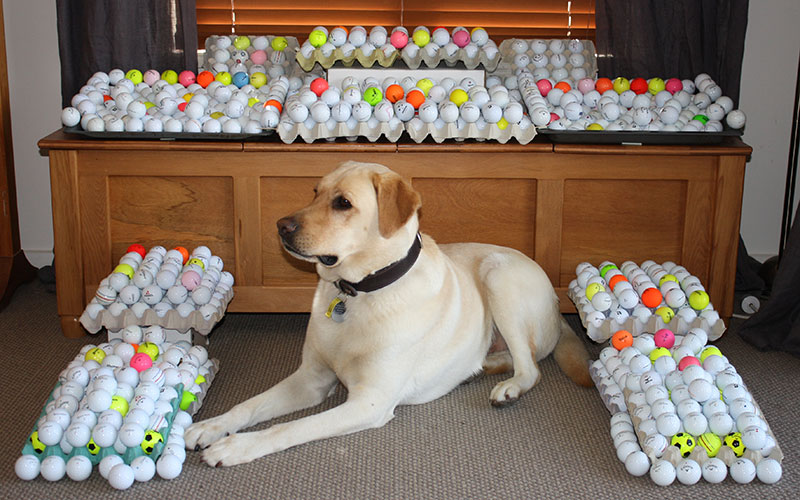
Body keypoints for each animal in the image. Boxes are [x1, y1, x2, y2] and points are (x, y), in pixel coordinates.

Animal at [184, 162, 592, 466]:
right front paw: (212, 426)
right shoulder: (311, 378)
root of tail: (557, 303)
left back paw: (508, 386)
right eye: (314, 192)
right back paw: (481, 366)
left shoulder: (369, 402)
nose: (281, 226)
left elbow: (290, 428)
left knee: (532, 368)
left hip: (498, 275)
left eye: (343, 203)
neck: (356, 293)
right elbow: (249, 405)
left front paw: (235, 446)